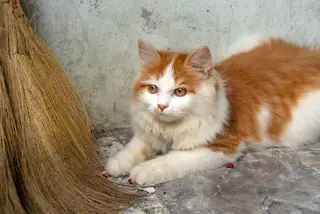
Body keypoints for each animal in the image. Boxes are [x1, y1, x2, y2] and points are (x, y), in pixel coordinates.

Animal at [106, 35, 320, 186]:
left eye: (180, 91)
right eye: (153, 89)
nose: (162, 106)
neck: (171, 129)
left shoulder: (223, 146)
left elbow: (172, 159)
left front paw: (145, 170)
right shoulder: (149, 133)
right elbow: (134, 146)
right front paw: (117, 163)